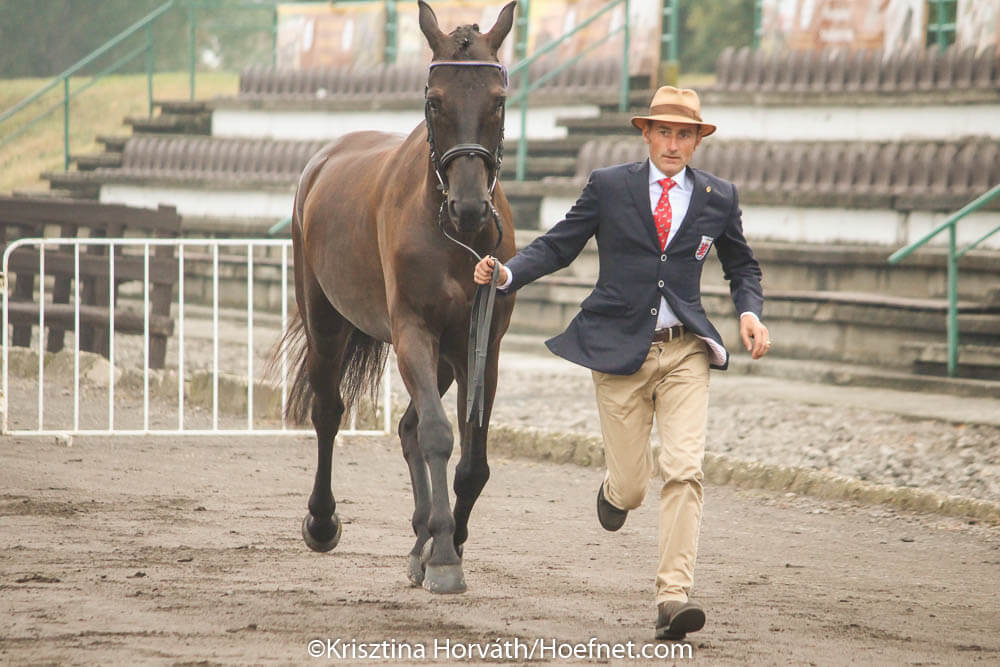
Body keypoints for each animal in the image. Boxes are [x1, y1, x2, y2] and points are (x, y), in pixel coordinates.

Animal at [280, 0, 518, 594]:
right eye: (434, 101)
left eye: (498, 101)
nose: (470, 208)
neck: (452, 237)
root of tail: (325, 158)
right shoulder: (414, 331)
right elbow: (436, 433)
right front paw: (445, 555)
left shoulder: (480, 346)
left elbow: (472, 460)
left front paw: (443, 543)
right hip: (326, 324)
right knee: (329, 411)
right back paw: (323, 521)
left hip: (448, 358)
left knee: (407, 427)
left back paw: (420, 537)